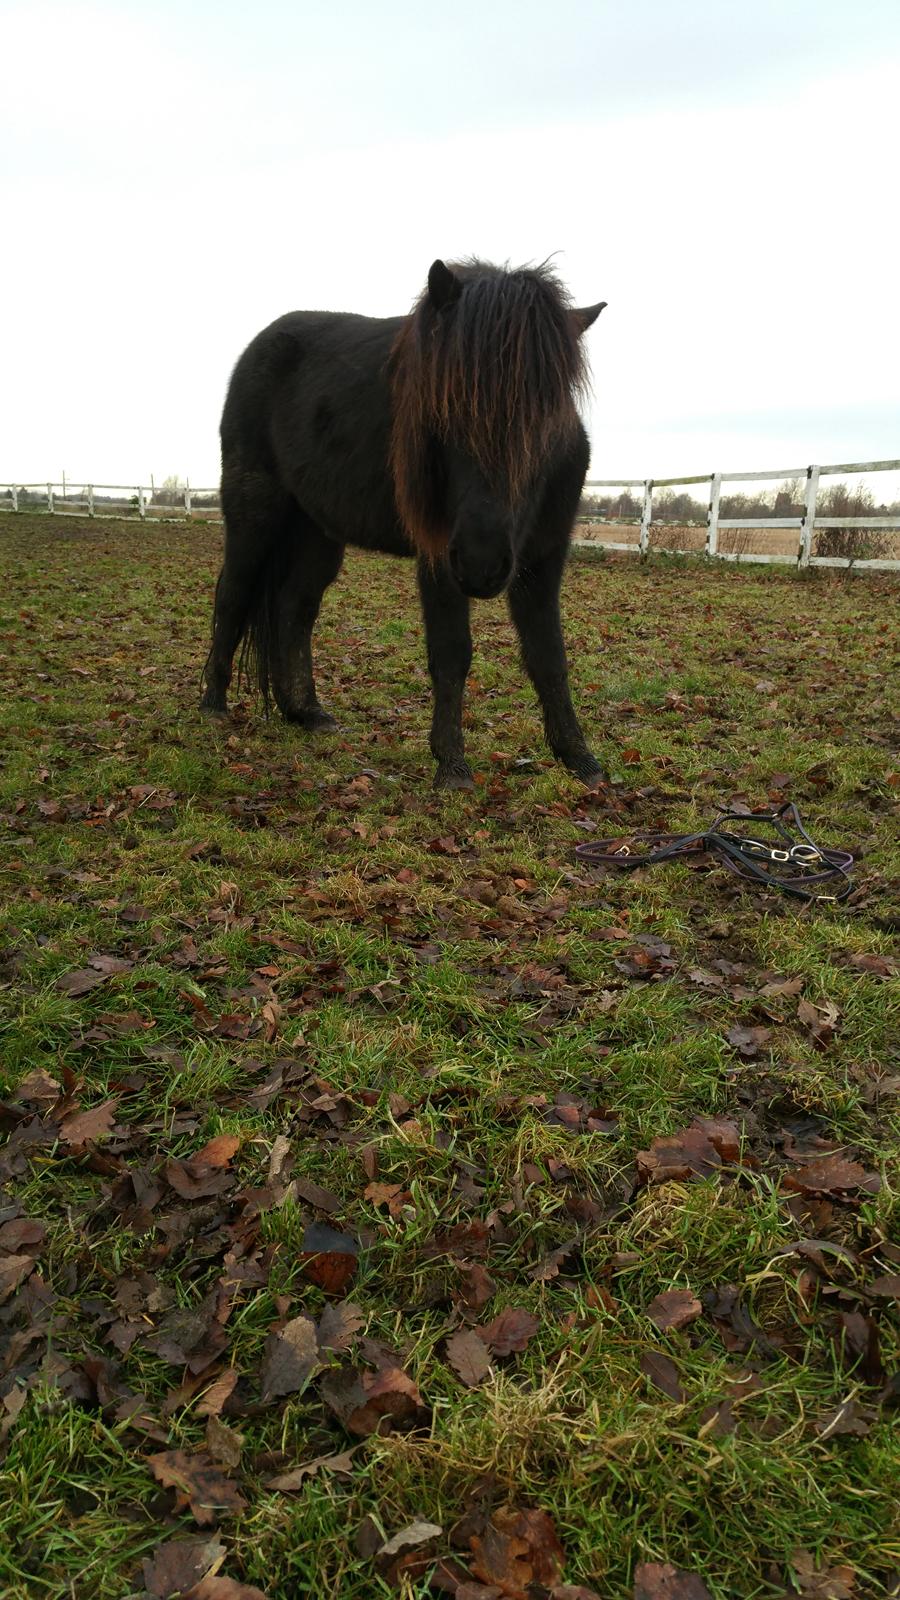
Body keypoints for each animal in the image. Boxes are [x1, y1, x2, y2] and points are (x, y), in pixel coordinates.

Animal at [200, 256, 605, 787]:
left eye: (545, 420)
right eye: (444, 409)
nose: (482, 562)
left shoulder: (543, 558)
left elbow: (549, 655)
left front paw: (579, 758)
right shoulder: (439, 558)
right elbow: (452, 653)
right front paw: (452, 765)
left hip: (317, 532)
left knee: (295, 608)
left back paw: (305, 711)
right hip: (254, 515)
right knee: (233, 596)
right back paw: (213, 705)